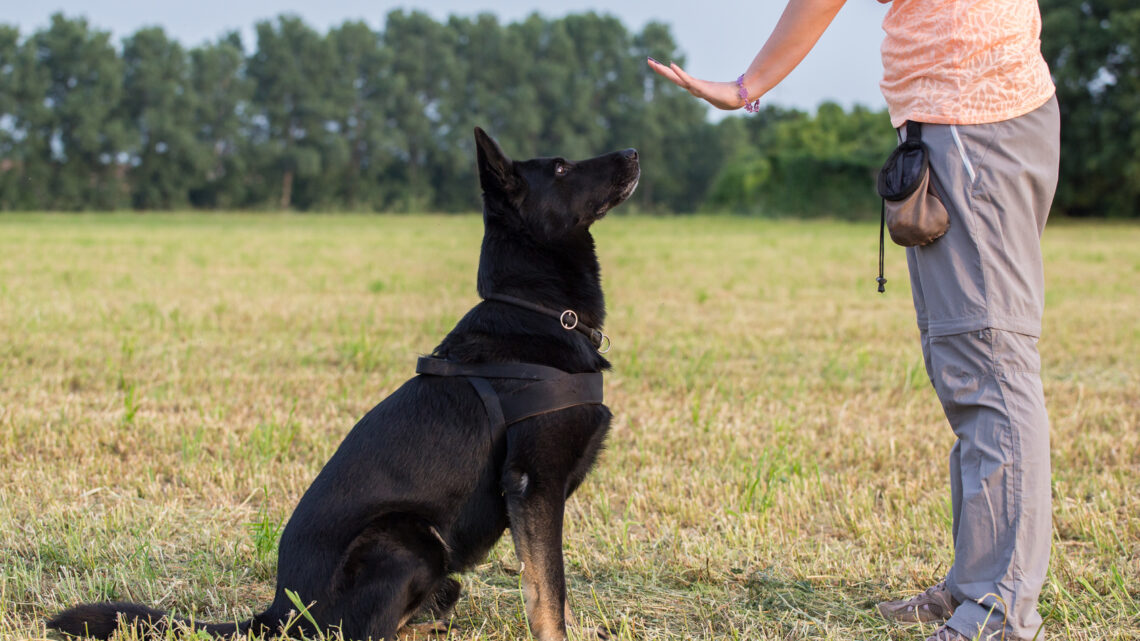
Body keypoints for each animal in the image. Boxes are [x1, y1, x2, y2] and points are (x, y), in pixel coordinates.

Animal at [51, 128, 642, 638]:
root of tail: (280, 610)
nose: (634, 152)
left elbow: (551, 587)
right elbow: (548, 590)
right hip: (408, 538)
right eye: (562, 167)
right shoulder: (533, 485)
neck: (537, 310)